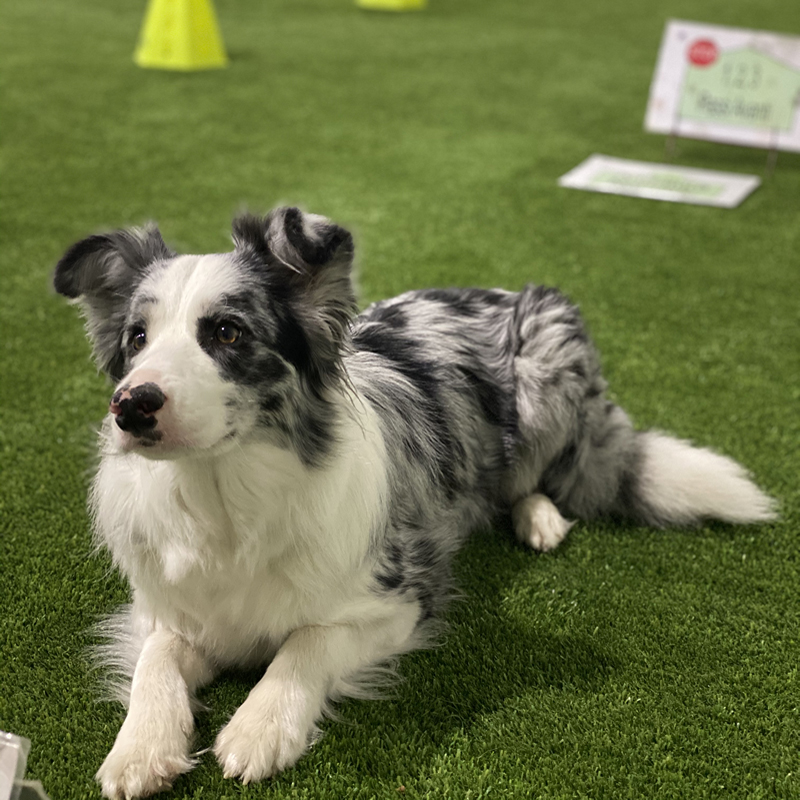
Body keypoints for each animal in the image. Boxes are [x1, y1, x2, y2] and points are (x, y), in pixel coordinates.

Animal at [54, 208, 776, 800]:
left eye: (228, 332)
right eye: (137, 339)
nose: (131, 406)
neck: (224, 494)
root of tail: (503, 290)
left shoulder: (400, 598)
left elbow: (305, 643)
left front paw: (259, 729)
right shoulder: (171, 608)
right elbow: (156, 661)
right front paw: (139, 751)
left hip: (543, 375)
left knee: (530, 479)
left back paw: (540, 518)